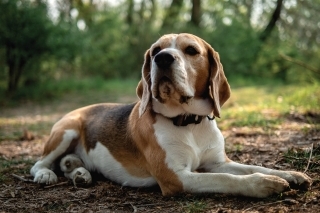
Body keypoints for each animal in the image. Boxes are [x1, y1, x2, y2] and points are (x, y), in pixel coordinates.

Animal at [30, 33, 310, 198]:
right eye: (155, 50)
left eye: (191, 50)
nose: (162, 58)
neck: (189, 123)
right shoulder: (177, 177)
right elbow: (226, 179)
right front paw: (264, 184)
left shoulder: (218, 162)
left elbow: (251, 166)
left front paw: (289, 174)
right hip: (67, 130)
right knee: (39, 164)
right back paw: (47, 175)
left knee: (68, 163)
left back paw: (79, 172)